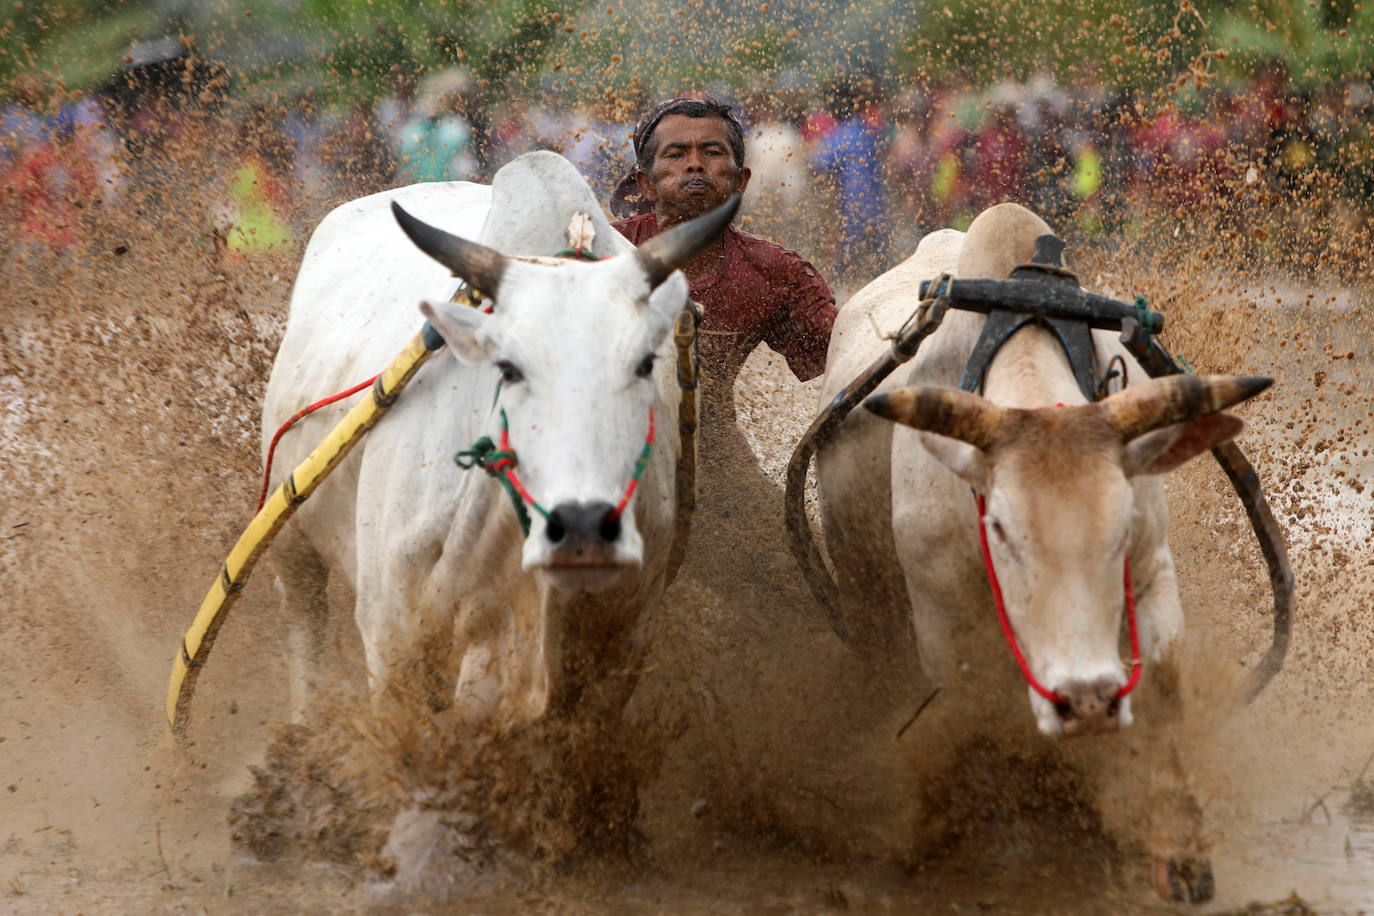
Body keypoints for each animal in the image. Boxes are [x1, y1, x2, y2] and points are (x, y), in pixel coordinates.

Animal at [258, 150, 730, 758]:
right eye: (509, 367)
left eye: (646, 364)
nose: (583, 523)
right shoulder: (392, 640)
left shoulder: (617, 654)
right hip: (289, 532)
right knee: (304, 620)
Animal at [807, 201, 1269, 900]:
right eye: (999, 528)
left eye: (1120, 526)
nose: (1088, 697)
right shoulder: (944, 621)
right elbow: (984, 708)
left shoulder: (1151, 572)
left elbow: (1160, 688)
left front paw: (1173, 844)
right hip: (865, 590)